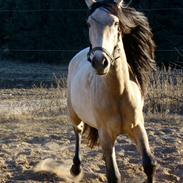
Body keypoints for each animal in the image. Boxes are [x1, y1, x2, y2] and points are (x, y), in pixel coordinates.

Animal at [67, 0, 156, 182]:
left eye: (116, 23)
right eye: (88, 23)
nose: (100, 62)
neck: (119, 93)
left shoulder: (138, 128)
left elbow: (148, 165)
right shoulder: (106, 135)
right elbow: (113, 175)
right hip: (74, 114)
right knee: (78, 131)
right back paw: (76, 168)